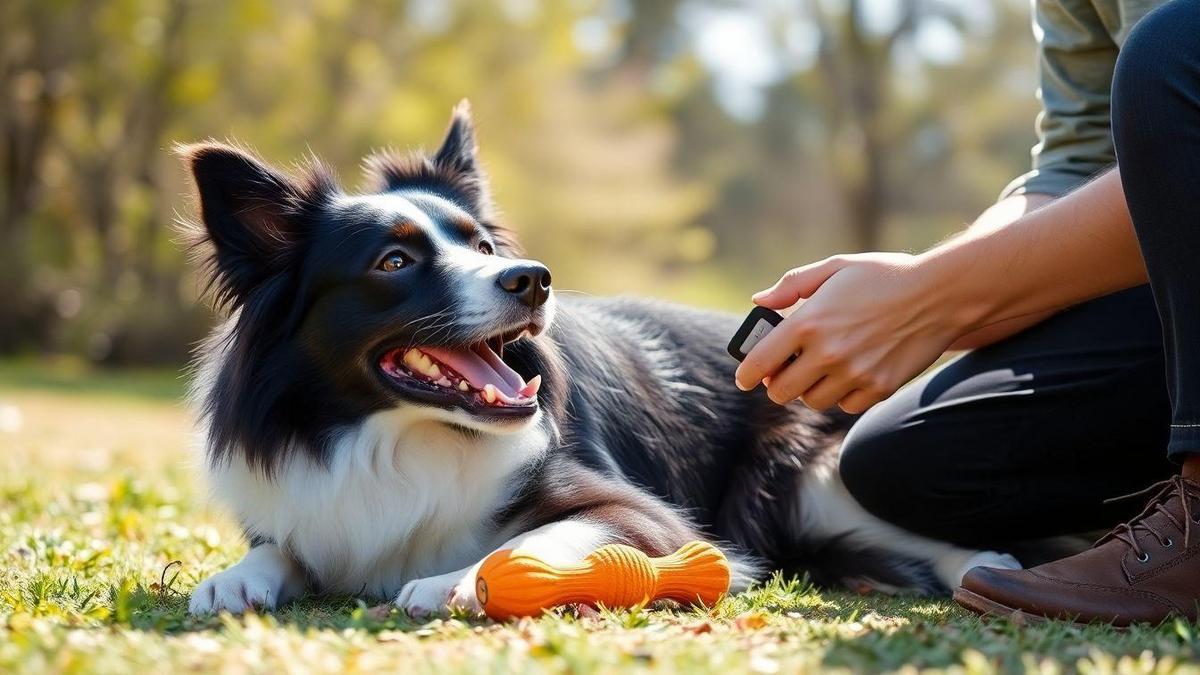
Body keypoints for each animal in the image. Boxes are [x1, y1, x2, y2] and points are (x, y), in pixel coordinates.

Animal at [182, 100, 1017, 614]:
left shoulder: (639, 510)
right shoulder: (313, 505)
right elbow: (281, 548)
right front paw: (234, 578)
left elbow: (535, 536)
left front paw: (454, 579)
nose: (532, 277)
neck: (398, 436)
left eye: (484, 248)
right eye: (394, 261)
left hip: (812, 479)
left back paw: (991, 569)